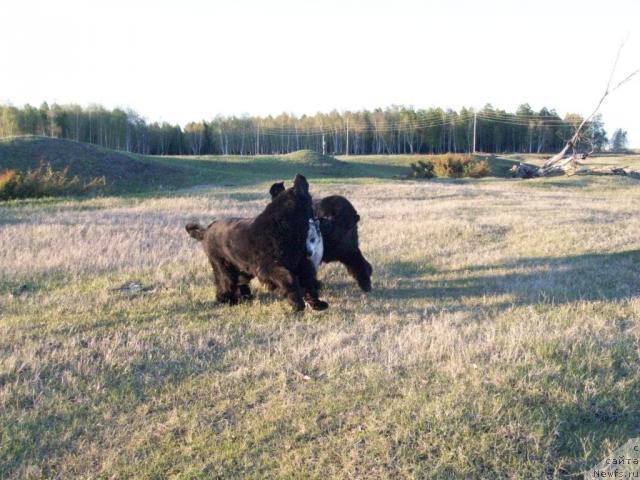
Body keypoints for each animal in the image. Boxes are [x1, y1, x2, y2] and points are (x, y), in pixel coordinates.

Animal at [184, 174, 324, 314]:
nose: (301, 177)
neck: (282, 226)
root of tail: (206, 230)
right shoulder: (270, 267)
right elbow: (288, 279)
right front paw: (297, 303)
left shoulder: (300, 264)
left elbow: (308, 281)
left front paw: (316, 303)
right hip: (222, 265)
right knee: (225, 283)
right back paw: (226, 300)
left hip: (241, 269)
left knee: (238, 282)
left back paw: (242, 298)